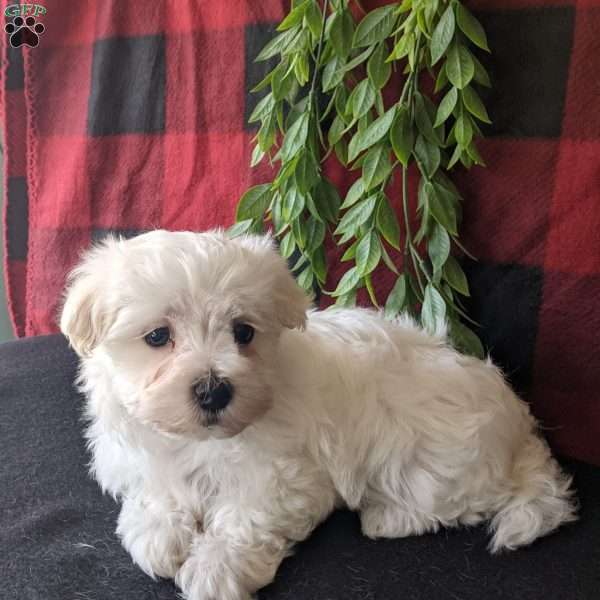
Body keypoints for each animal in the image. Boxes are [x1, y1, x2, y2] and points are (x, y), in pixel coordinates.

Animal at [59, 231, 576, 600]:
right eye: (156, 337)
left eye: (243, 332)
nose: (213, 389)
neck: (198, 441)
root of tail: (521, 428)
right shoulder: (141, 454)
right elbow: (157, 488)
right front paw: (158, 531)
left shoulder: (285, 477)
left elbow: (247, 516)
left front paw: (214, 566)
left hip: (429, 451)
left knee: (458, 500)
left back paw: (388, 516)